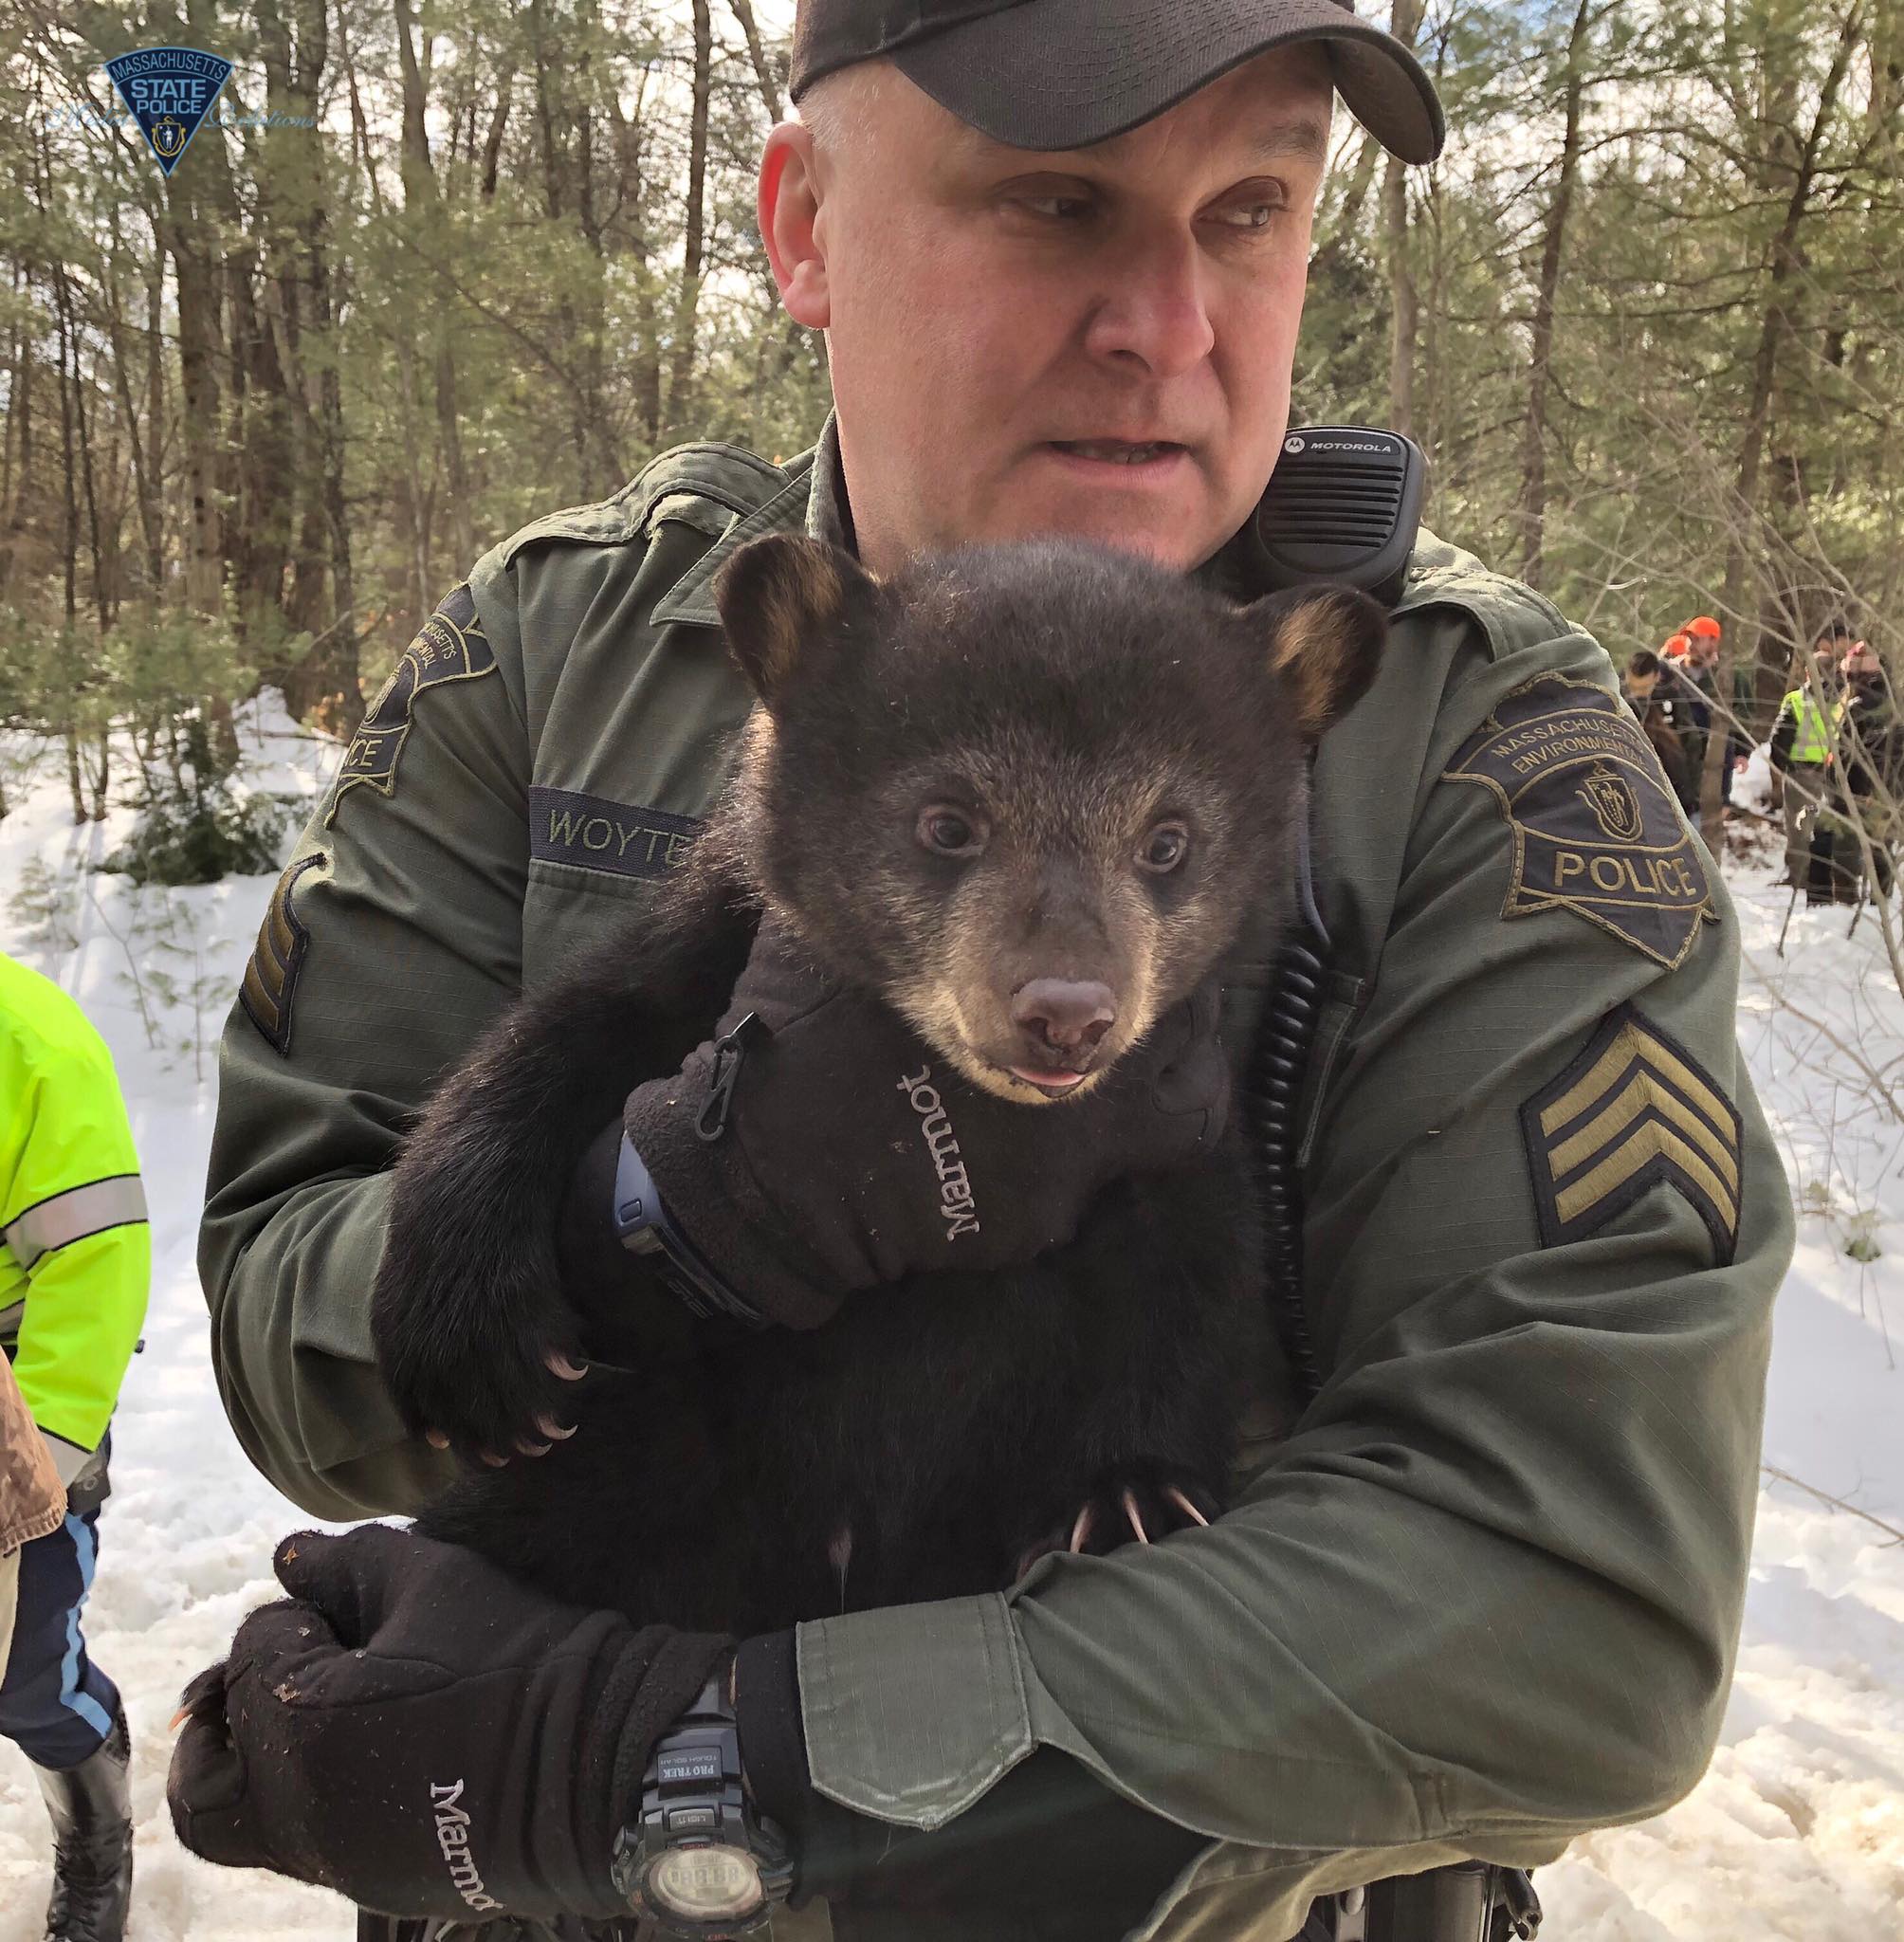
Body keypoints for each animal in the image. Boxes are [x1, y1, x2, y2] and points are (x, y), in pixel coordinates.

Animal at [369, 535, 1384, 1636]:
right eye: (946, 823)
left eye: (1169, 840)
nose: (1067, 1011)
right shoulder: (715, 944)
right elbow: (572, 1029)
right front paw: (470, 1339)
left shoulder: (1178, 1106)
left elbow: (1195, 1266)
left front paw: (1132, 1497)